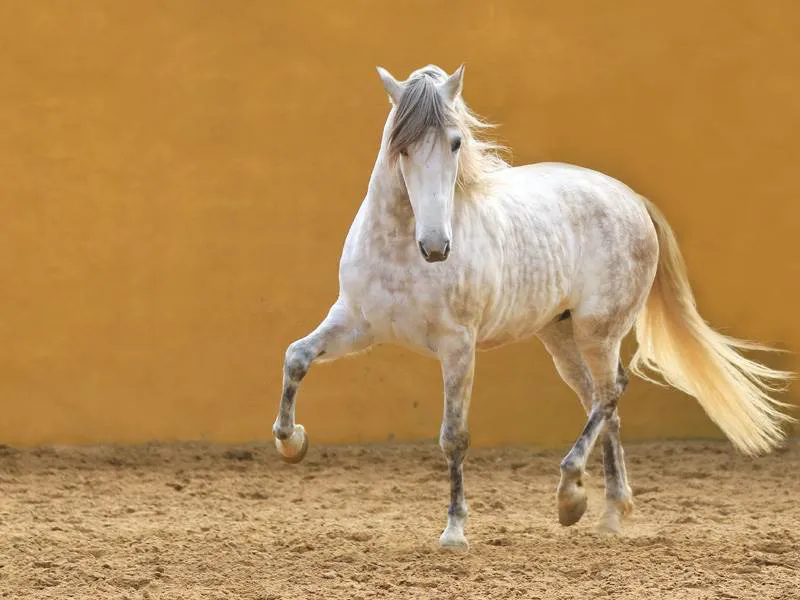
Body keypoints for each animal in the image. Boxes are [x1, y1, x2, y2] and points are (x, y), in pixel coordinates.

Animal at [274, 64, 792, 548]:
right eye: (399, 146)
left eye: (456, 143)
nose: (437, 246)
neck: (403, 247)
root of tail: (630, 198)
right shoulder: (357, 325)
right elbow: (296, 356)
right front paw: (292, 442)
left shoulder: (458, 347)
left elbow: (454, 436)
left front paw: (455, 532)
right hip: (559, 335)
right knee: (601, 400)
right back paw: (610, 513)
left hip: (597, 332)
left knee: (610, 392)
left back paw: (571, 495)